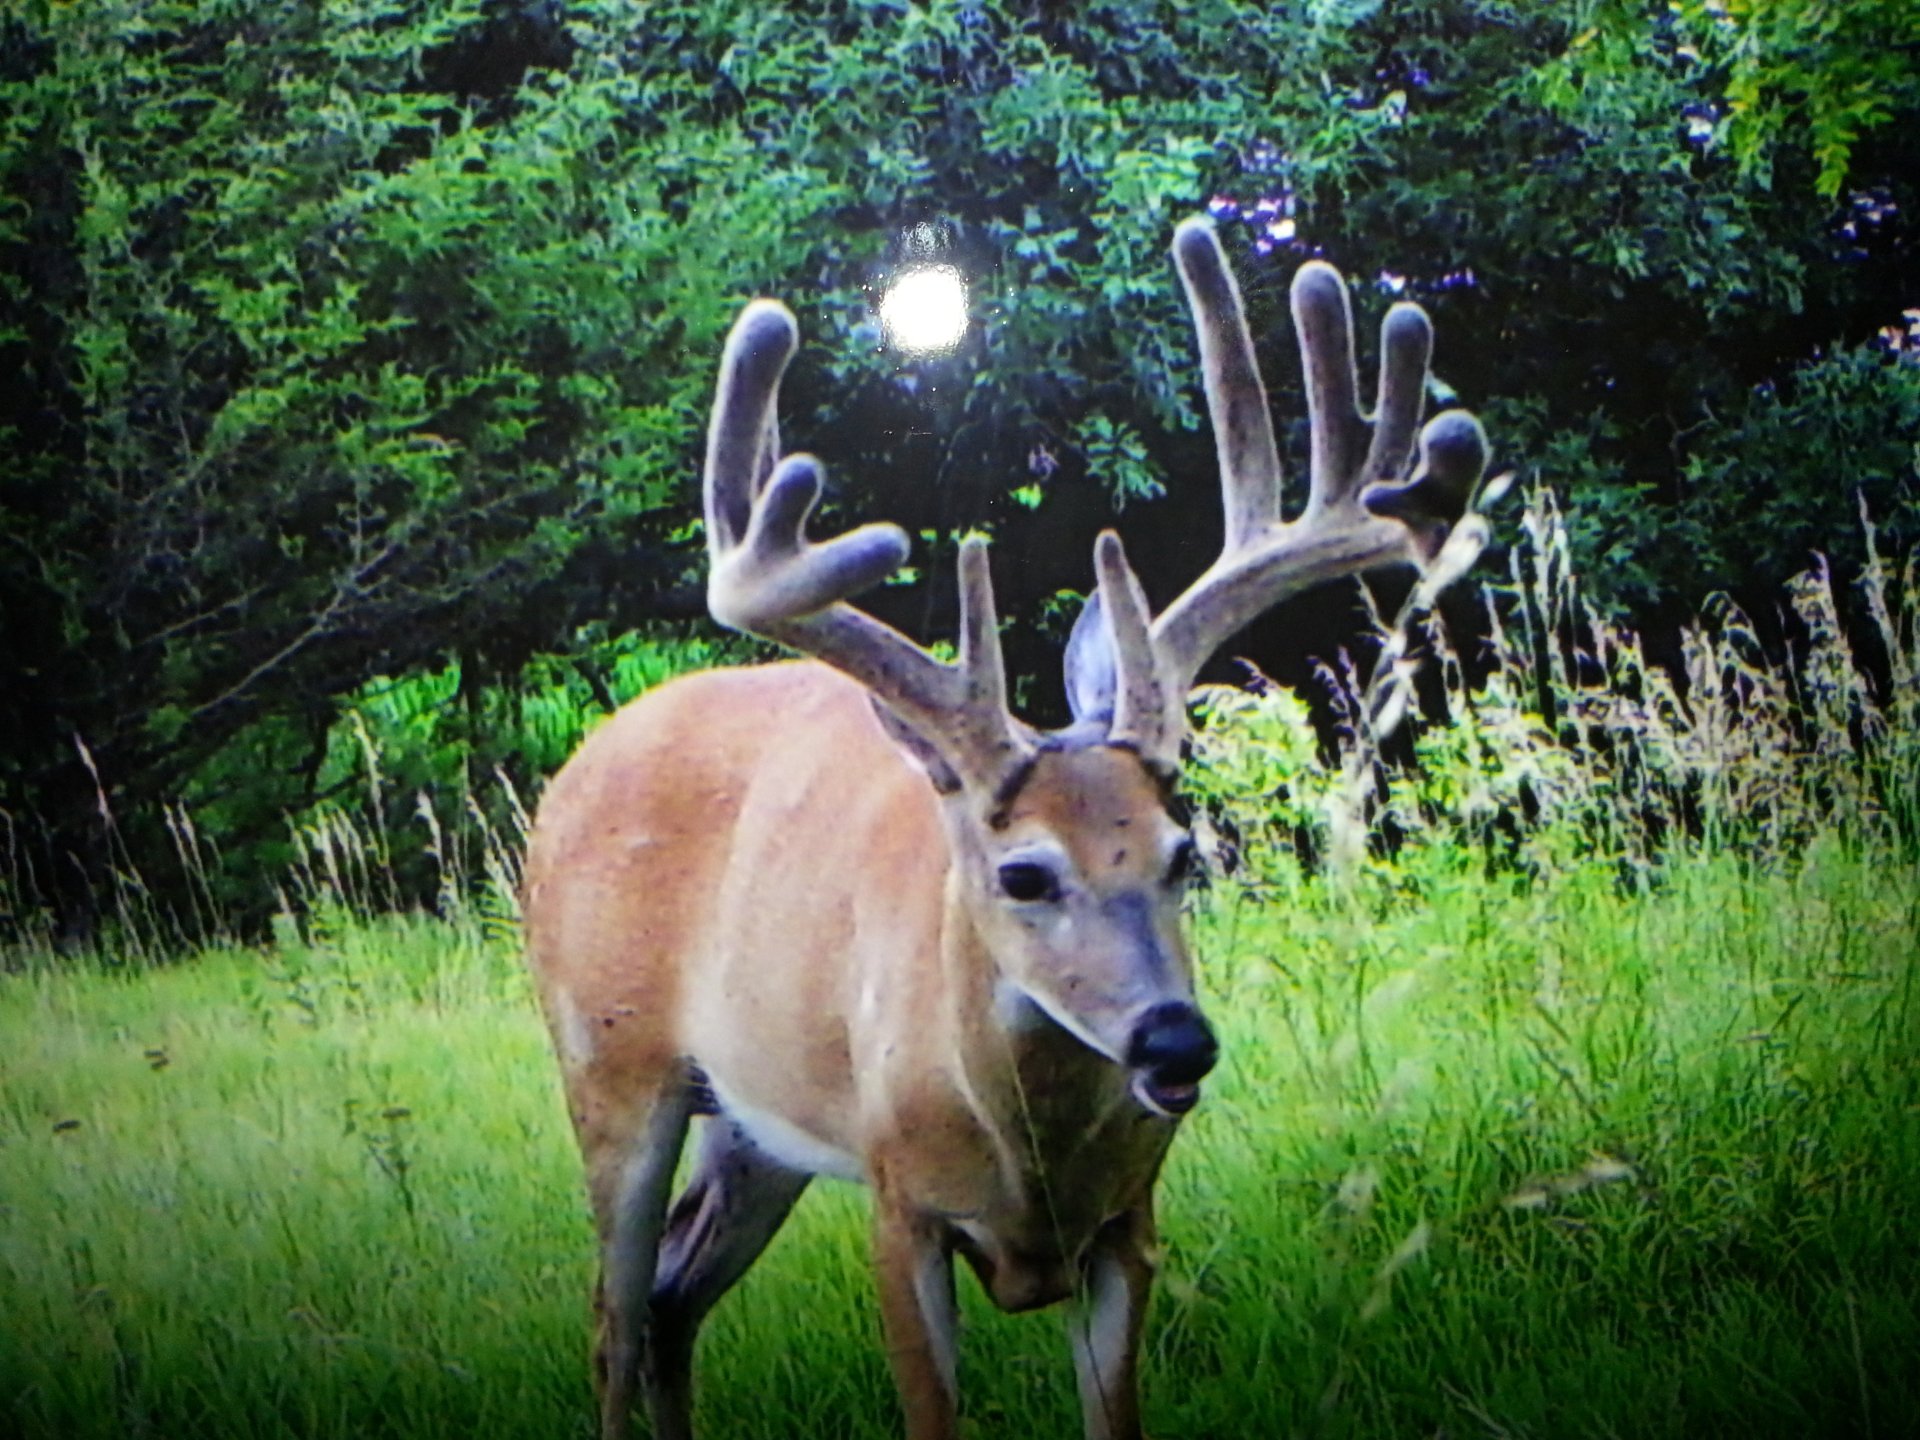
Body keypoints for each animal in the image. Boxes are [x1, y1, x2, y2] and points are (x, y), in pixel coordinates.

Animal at [521, 215, 1490, 1440]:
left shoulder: (1130, 1223)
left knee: (668, 1301)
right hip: (609, 1064)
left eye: (1187, 856)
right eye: (1024, 874)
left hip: (751, 1121)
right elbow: (930, 1415)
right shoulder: (900, 1206)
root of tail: (574, 773)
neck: (1030, 1163)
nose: (1176, 1041)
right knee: (611, 1317)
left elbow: (1114, 1419)